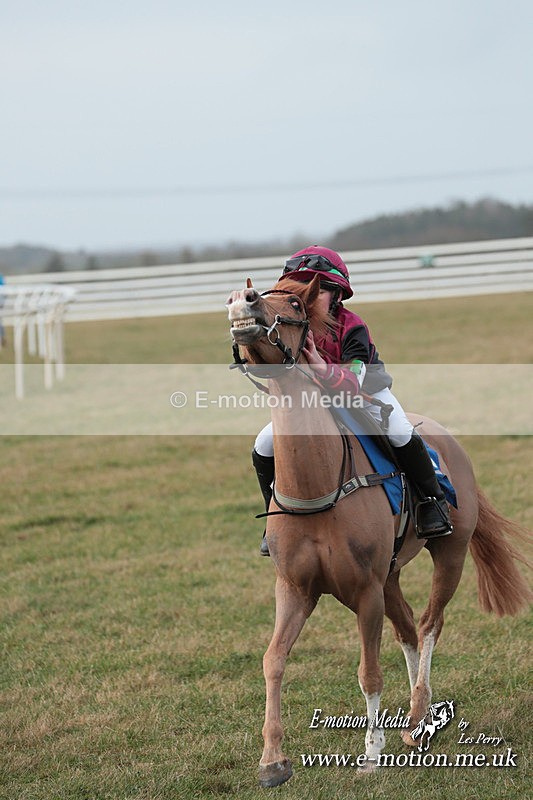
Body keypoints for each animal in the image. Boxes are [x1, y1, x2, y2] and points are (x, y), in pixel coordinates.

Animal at [226, 274, 531, 788]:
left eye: (293, 303)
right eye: (259, 292)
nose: (240, 302)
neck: (321, 483)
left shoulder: (365, 591)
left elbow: (368, 670)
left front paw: (371, 752)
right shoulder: (294, 588)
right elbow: (273, 660)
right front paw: (272, 760)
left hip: (449, 556)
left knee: (428, 624)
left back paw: (417, 718)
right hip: (391, 573)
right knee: (407, 628)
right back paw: (417, 716)